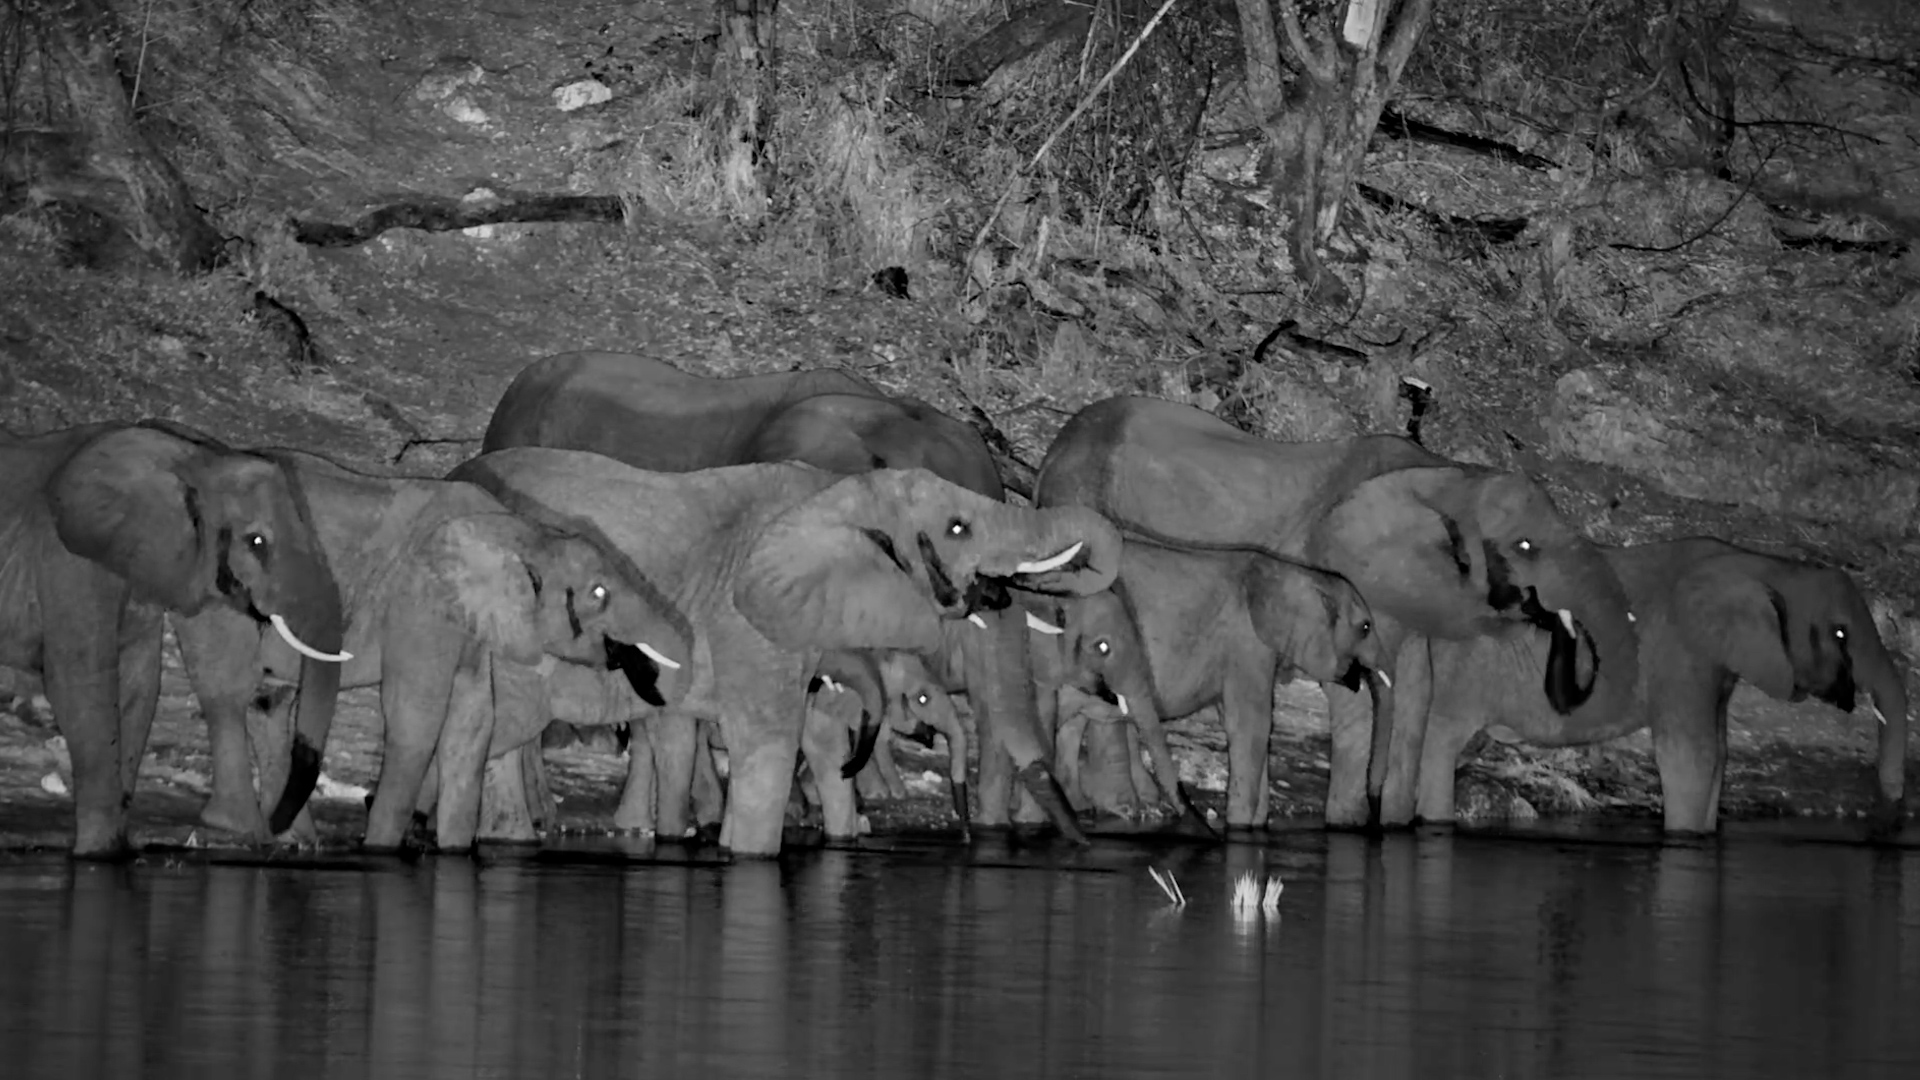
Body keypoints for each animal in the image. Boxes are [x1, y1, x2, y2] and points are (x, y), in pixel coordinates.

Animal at [0, 420, 347, 857]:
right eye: (256, 542)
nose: (277, 830)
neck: (193, 461)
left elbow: (138, 686)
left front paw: (117, 848)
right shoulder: (66, 560)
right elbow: (83, 686)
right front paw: (99, 856)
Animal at [169, 448, 692, 853]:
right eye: (600, 593)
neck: (519, 530)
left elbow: (473, 721)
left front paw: (453, 854)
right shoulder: (419, 604)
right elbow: (416, 717)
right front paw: (380, 851)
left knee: (269, 703)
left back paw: (290, 838)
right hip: (211, 592)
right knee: (228, 693)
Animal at [1025, 538, 1384, 828]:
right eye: (1366, 627)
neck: (1297, 572)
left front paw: (1254, 826)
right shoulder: (1246, 643)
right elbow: (1251, 725)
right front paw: (1239, 828)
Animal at [1398, 536, 1909, 833]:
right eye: (1840, 634)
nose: (1888, 812)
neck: (1762, 565)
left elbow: (1718, 754)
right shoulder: (1681, 653)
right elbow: (1691, 756)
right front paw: (1684, 837)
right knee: (1440, 742)